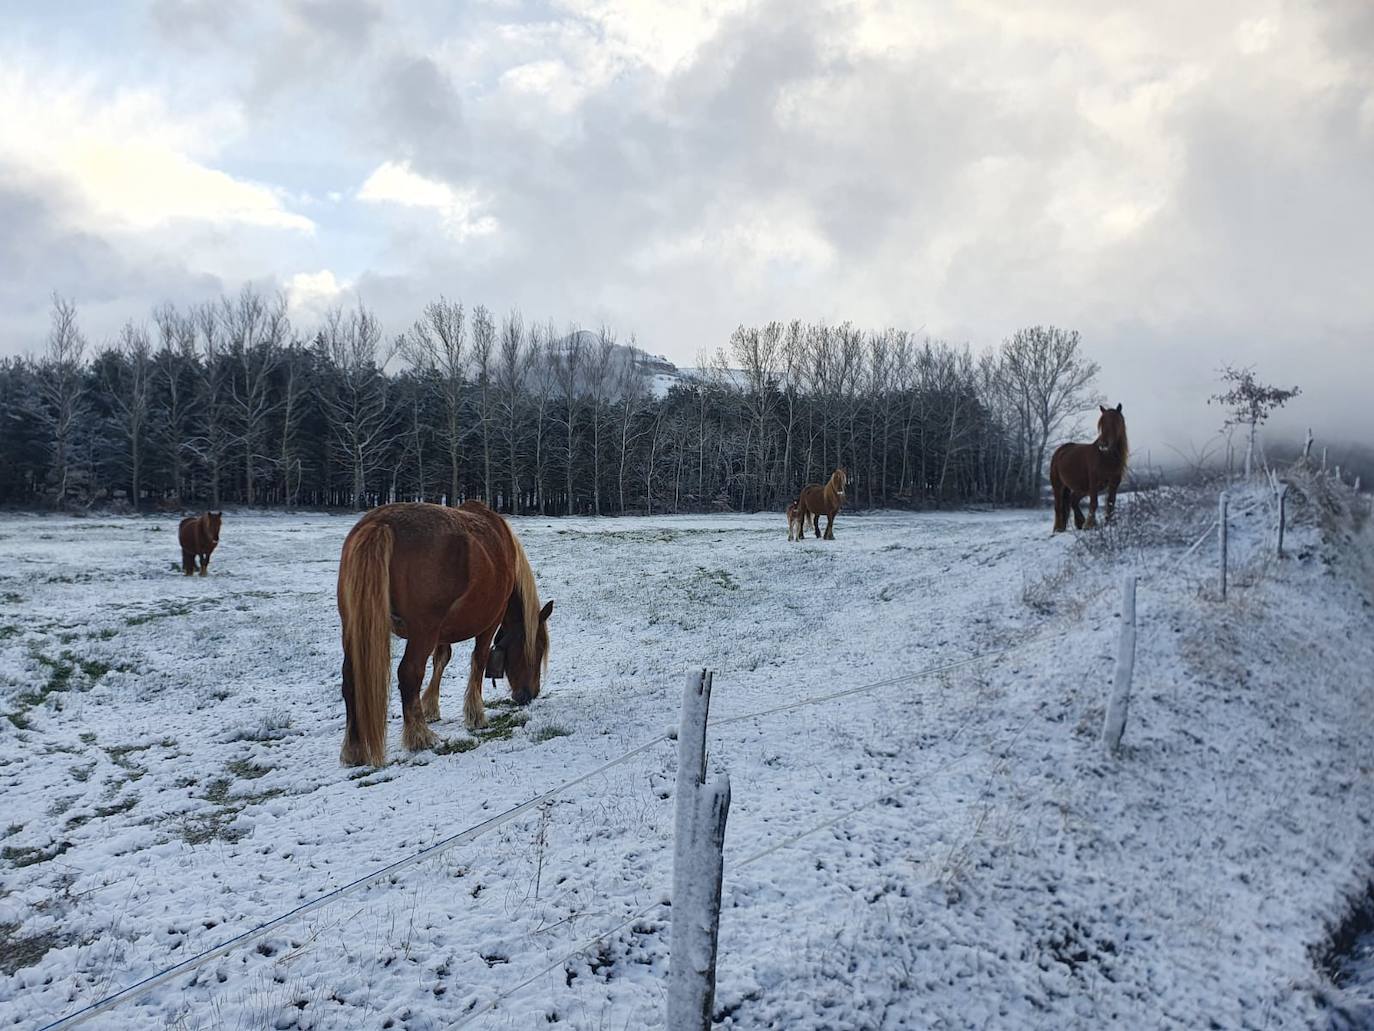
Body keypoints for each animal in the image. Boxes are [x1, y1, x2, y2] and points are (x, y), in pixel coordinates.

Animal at [333, 500, 552, 769]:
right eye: (538, 649)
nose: (531, 694)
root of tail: (380, 523)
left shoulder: (441, 632)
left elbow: (441, 659)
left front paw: (430, 706)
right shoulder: (488, 623)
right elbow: (478, 660)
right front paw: (475, 714)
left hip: (352, 627)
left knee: (350, 678)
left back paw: (354, 748)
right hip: (422, 632)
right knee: (409, 673)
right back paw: (419, 736)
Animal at [1049, 404, 1126, 533]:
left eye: (1116, 422)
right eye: (1102, 423)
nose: (1103, 444)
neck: (1106, 456)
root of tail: (1060, 451)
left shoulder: (1114, 482)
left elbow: (1111, 502)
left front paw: (1109, 524)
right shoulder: (1094, 482)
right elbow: (1094, 503)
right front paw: (1090, 525)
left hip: (1082, 488)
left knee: (1073, 500)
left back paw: (1079, 523)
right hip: (1058, 485)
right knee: (1058, 506)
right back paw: (1059, 528)